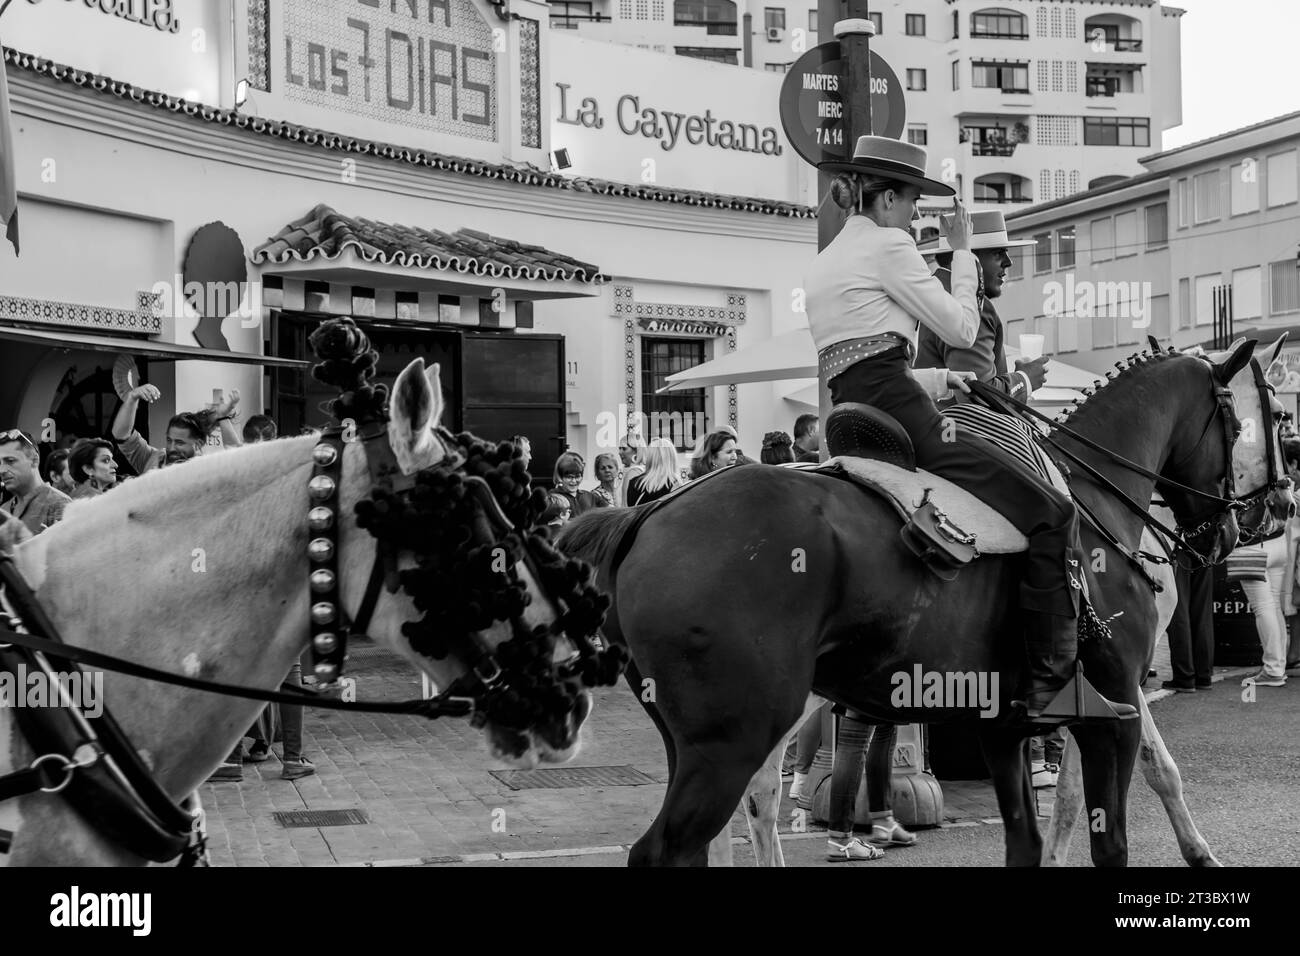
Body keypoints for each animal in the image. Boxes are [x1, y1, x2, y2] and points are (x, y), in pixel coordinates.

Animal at [561, 343, 1279, 868]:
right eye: (1257, 419)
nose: (1263, 516)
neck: (1094, 500)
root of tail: (648, 513)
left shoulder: (1012, 722)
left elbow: (1036, 832)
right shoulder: (1115, 705)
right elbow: (1119, 808)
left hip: (709, 738)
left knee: (740, 812)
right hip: (733, 738)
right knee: (690, 834)